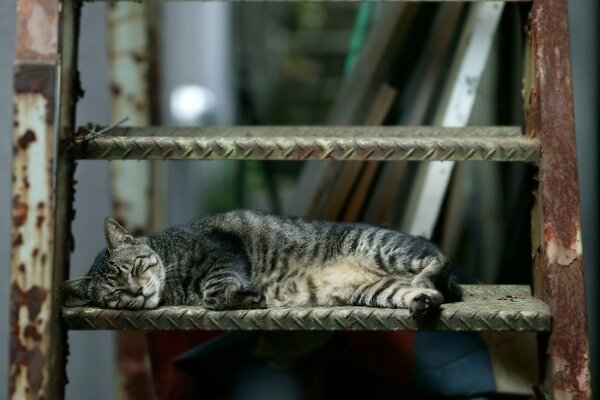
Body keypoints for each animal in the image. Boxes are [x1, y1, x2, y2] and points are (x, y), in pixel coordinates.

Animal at [63, 209, 462, 318]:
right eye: (115, 294)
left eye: (134, 269)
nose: (136, 291)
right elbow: (215, 294)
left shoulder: (222, 253)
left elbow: (216, 289)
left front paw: (247, 297)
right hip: (376, 289)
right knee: (424, 293)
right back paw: (423, 300)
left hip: (384, 247)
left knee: (440, 258)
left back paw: (428, 279)